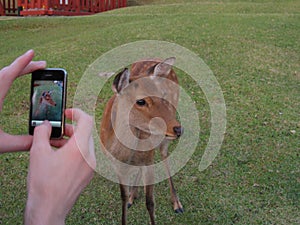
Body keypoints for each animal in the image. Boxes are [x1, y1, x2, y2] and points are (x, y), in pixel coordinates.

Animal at [100, 57, 183, 224]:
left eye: (162, 94)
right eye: (140, 101)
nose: (178, 129)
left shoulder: (149, 161)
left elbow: (150, 202)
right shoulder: (117, 166)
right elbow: (123, 198)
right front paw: (129, 198)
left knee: (164, 154)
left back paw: (177, 203)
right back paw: (133, 195)